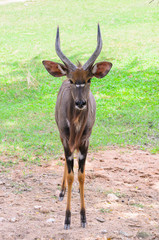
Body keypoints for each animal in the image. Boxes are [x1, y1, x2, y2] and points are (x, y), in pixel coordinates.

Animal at [42, 24, 112, 229]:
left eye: (89, 79)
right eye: (72, 80)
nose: (81, 103)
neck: (76, 126)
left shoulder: (85, 141)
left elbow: (81, 176)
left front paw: (83, 217)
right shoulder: (66, 139)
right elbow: (72, 175)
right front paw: (67, 219)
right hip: (62, 137)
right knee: (67, 164)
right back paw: (61, 191)